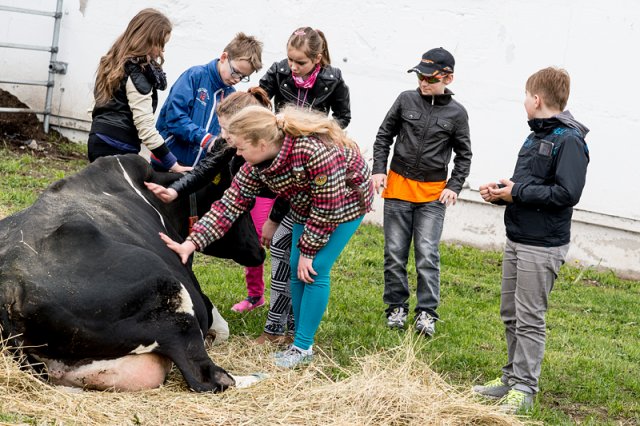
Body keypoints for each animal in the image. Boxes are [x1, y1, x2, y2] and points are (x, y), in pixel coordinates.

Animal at [0, 153, 264, 392]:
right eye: (248, 205)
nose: (260, 251)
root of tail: (10, 285)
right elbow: (222, 327)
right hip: (169, 297)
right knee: (207, 377)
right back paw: (255, 377)